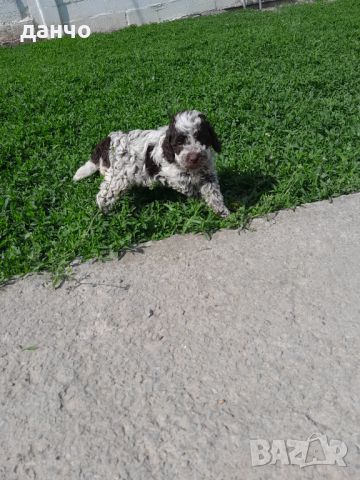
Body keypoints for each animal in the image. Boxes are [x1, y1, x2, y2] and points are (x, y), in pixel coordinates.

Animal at [73, 109, 229, 217]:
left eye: (202, 138)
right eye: (179, 143)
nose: (194, 157)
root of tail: (108, 140)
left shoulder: (208, 172)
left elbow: (213, 191)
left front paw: (221, 210)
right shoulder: (175, 175)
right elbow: (190, 188)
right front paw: (199, 200)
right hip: (118, 177)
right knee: (104, 195)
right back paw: (104, 213)